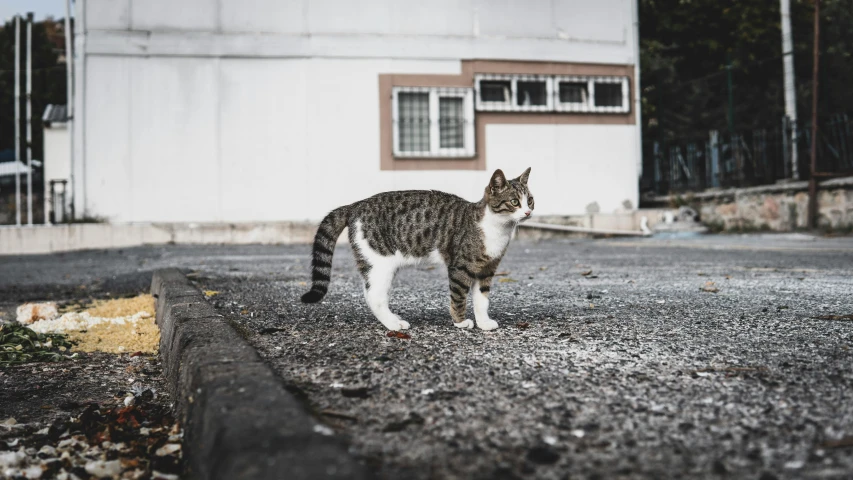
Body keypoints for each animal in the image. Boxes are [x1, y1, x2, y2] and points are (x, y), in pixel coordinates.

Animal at [300, 168, 532, 330]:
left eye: (530, 200)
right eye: (514, 202)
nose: (528, 212)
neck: (496, 228)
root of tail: (356, 205)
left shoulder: (486, 270)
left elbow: (481, 300)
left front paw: (483, 323)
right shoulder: (460, 267)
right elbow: (458, 297)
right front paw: (460, 322)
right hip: (380, 262)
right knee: (373, 295)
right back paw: (394, 324)